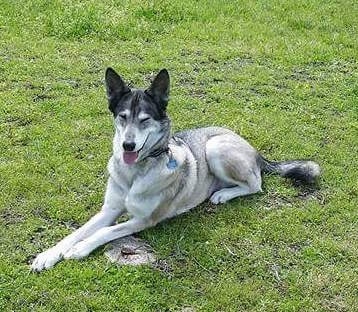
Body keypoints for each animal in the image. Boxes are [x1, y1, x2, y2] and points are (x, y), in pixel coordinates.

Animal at [31, 67, 322, 270]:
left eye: (145, 119)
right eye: (122, 117)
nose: (127, 145)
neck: (136, 173)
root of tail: (253, 149)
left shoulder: (145, 219)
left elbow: (105, 231)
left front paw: (79, 249)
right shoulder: (109, 210)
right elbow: (77, 231)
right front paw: (49, 255)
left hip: (215, 148)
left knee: (255, 184)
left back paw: (222, 194)